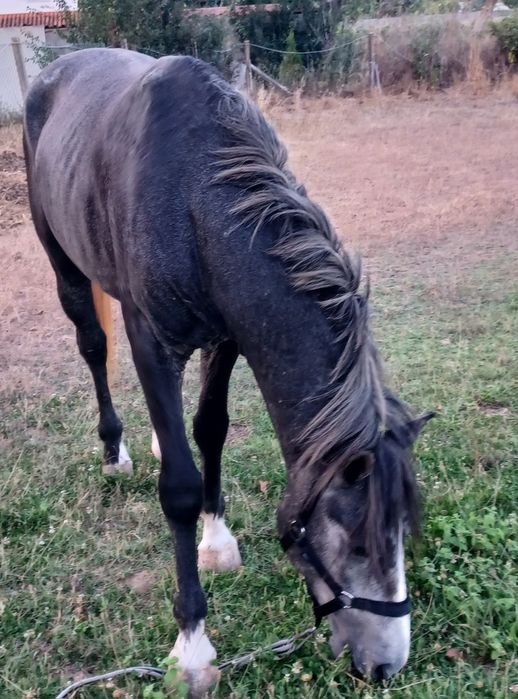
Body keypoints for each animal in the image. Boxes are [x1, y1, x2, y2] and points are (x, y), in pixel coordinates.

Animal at [23, 48, 433, 696]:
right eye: (357, 542)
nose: (386, 665)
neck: (195, 202)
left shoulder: (228, 338)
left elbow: (209, 429)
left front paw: (216, 542)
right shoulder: (151, 341)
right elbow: (180, 489)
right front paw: (192, 646)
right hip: (64, 265)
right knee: (92, 347)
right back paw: (114, 450)